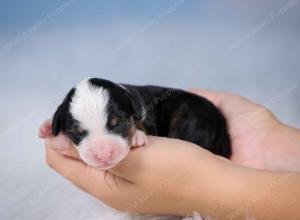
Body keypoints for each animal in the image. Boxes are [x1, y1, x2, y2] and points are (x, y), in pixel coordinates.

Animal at [39, 78, 232, 169]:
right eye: (77, 132)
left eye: (119, 124)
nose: (103, 155)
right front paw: (47, 127)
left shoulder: (148, 120)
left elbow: (142, 127)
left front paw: (137, 136)